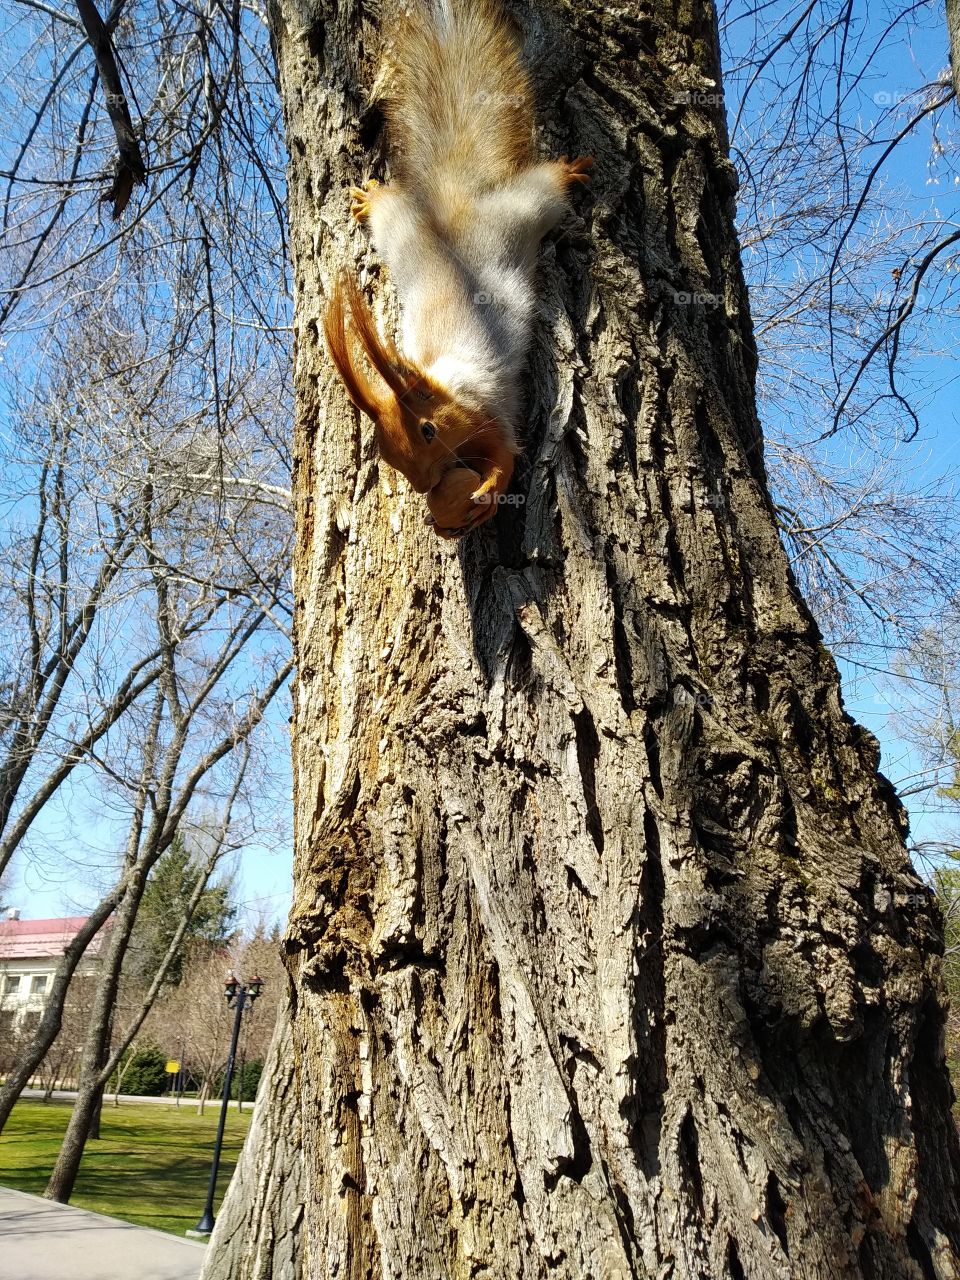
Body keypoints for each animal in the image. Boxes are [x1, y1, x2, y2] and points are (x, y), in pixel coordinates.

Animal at [324, 0, 591, 539]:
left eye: (428, 430)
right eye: (385, 453)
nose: (425, 485)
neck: (444, 381)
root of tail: (456, 211)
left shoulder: (491, 411)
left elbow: (506, 455)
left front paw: (486, 494)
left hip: (523, 213)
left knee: (546, 187)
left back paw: (570, 170)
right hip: (402, 231)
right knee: (389, 210)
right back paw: (370, 199)